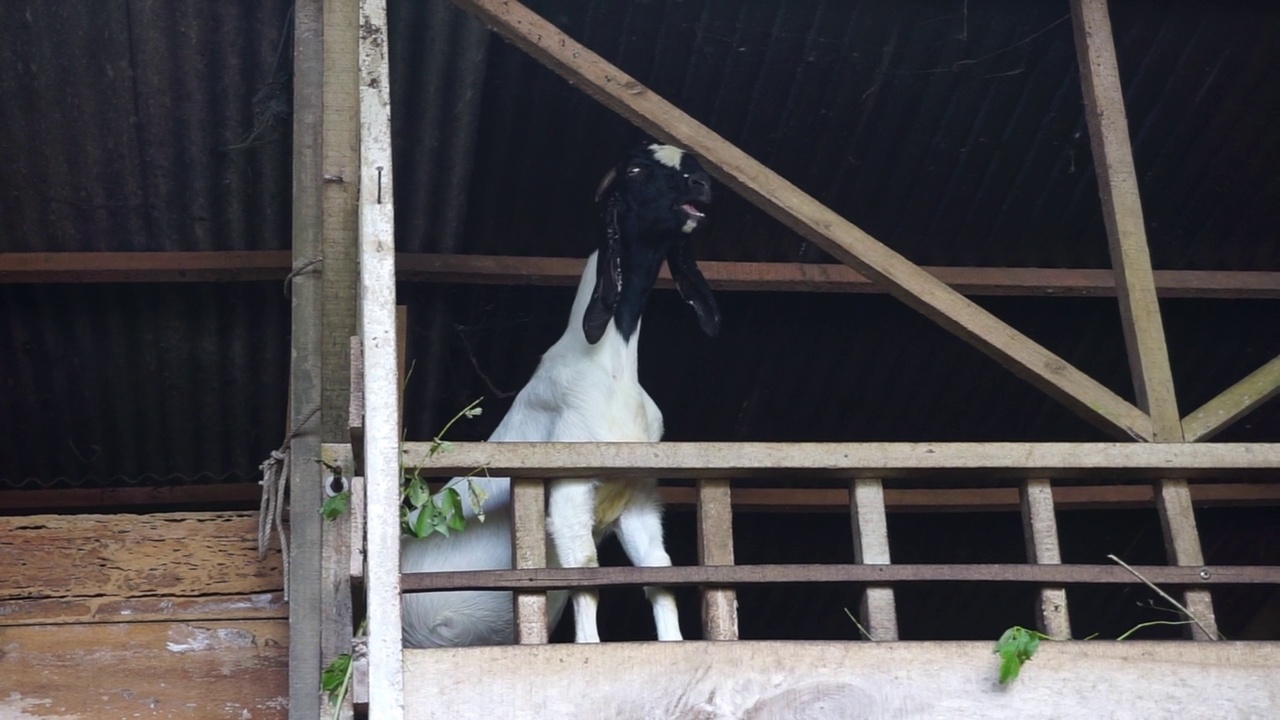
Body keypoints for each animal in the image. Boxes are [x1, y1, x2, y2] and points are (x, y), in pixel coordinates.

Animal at [399, 141, 721, 645]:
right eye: (635, 170)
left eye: (693, 167)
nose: (701, 185)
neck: (610, 367)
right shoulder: (570, 483)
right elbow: (584, 575)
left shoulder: (638, 497)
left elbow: (660, 576)